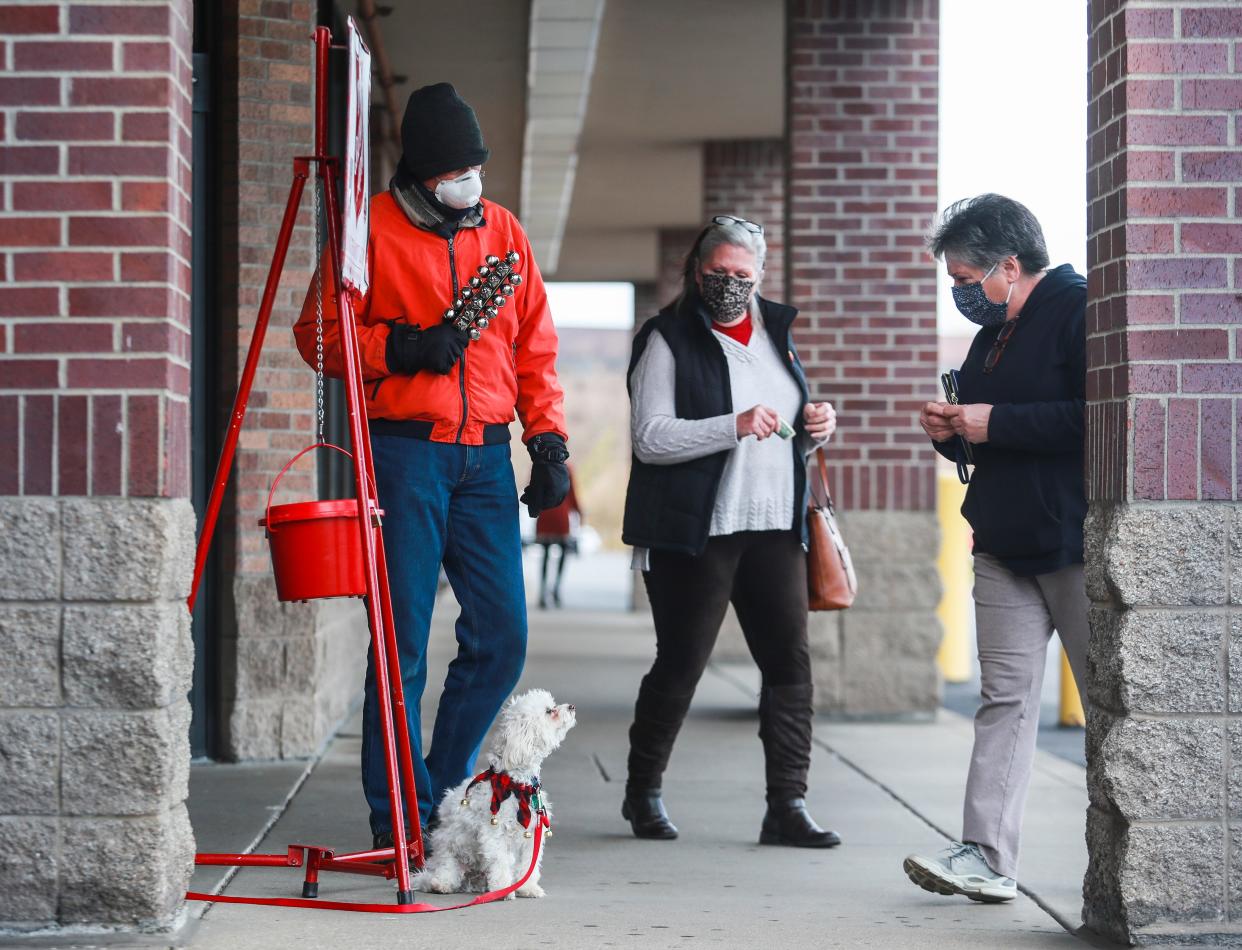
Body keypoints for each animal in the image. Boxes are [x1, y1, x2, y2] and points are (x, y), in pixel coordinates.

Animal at [414, 690, 573, 899]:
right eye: (549, 711)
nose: (572, 707)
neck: (517, 785)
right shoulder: (495, 833)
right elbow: (500, 862)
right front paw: (503, 889)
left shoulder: (531, 836)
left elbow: (527, 865)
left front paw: (527, 888)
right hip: (449, 848)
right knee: (445, 869)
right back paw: (441, 884)